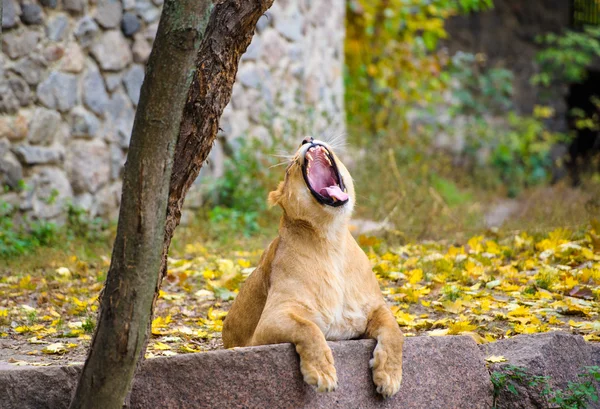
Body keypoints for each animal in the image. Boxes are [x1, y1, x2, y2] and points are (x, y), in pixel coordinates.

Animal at [223, 136, 406, 396]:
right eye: (290, 168)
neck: (331, 240)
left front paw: (388, 377)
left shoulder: (375, 307)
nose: (307, 138)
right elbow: (307, 328)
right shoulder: (270, 321)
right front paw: (322, 373)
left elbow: (395, 331)